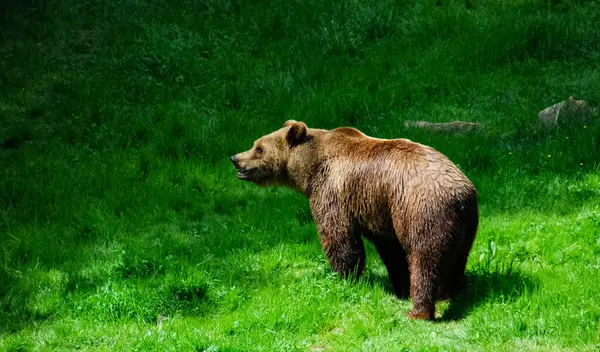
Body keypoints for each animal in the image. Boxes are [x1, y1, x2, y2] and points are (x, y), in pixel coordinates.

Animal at [230, 119, 478, 320]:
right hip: (465, 224)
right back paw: (451, 293)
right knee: (457, 259)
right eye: (255, 143)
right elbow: (390, 250)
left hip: (422, 211)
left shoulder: (334, 191)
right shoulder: (378, 209)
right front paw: (399, 287)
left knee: (424, 259)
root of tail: (461, 193)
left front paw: (344, 277)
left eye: (259, 149)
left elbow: (339, 238)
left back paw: (419, 311)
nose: (235, 158)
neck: (310, 169)